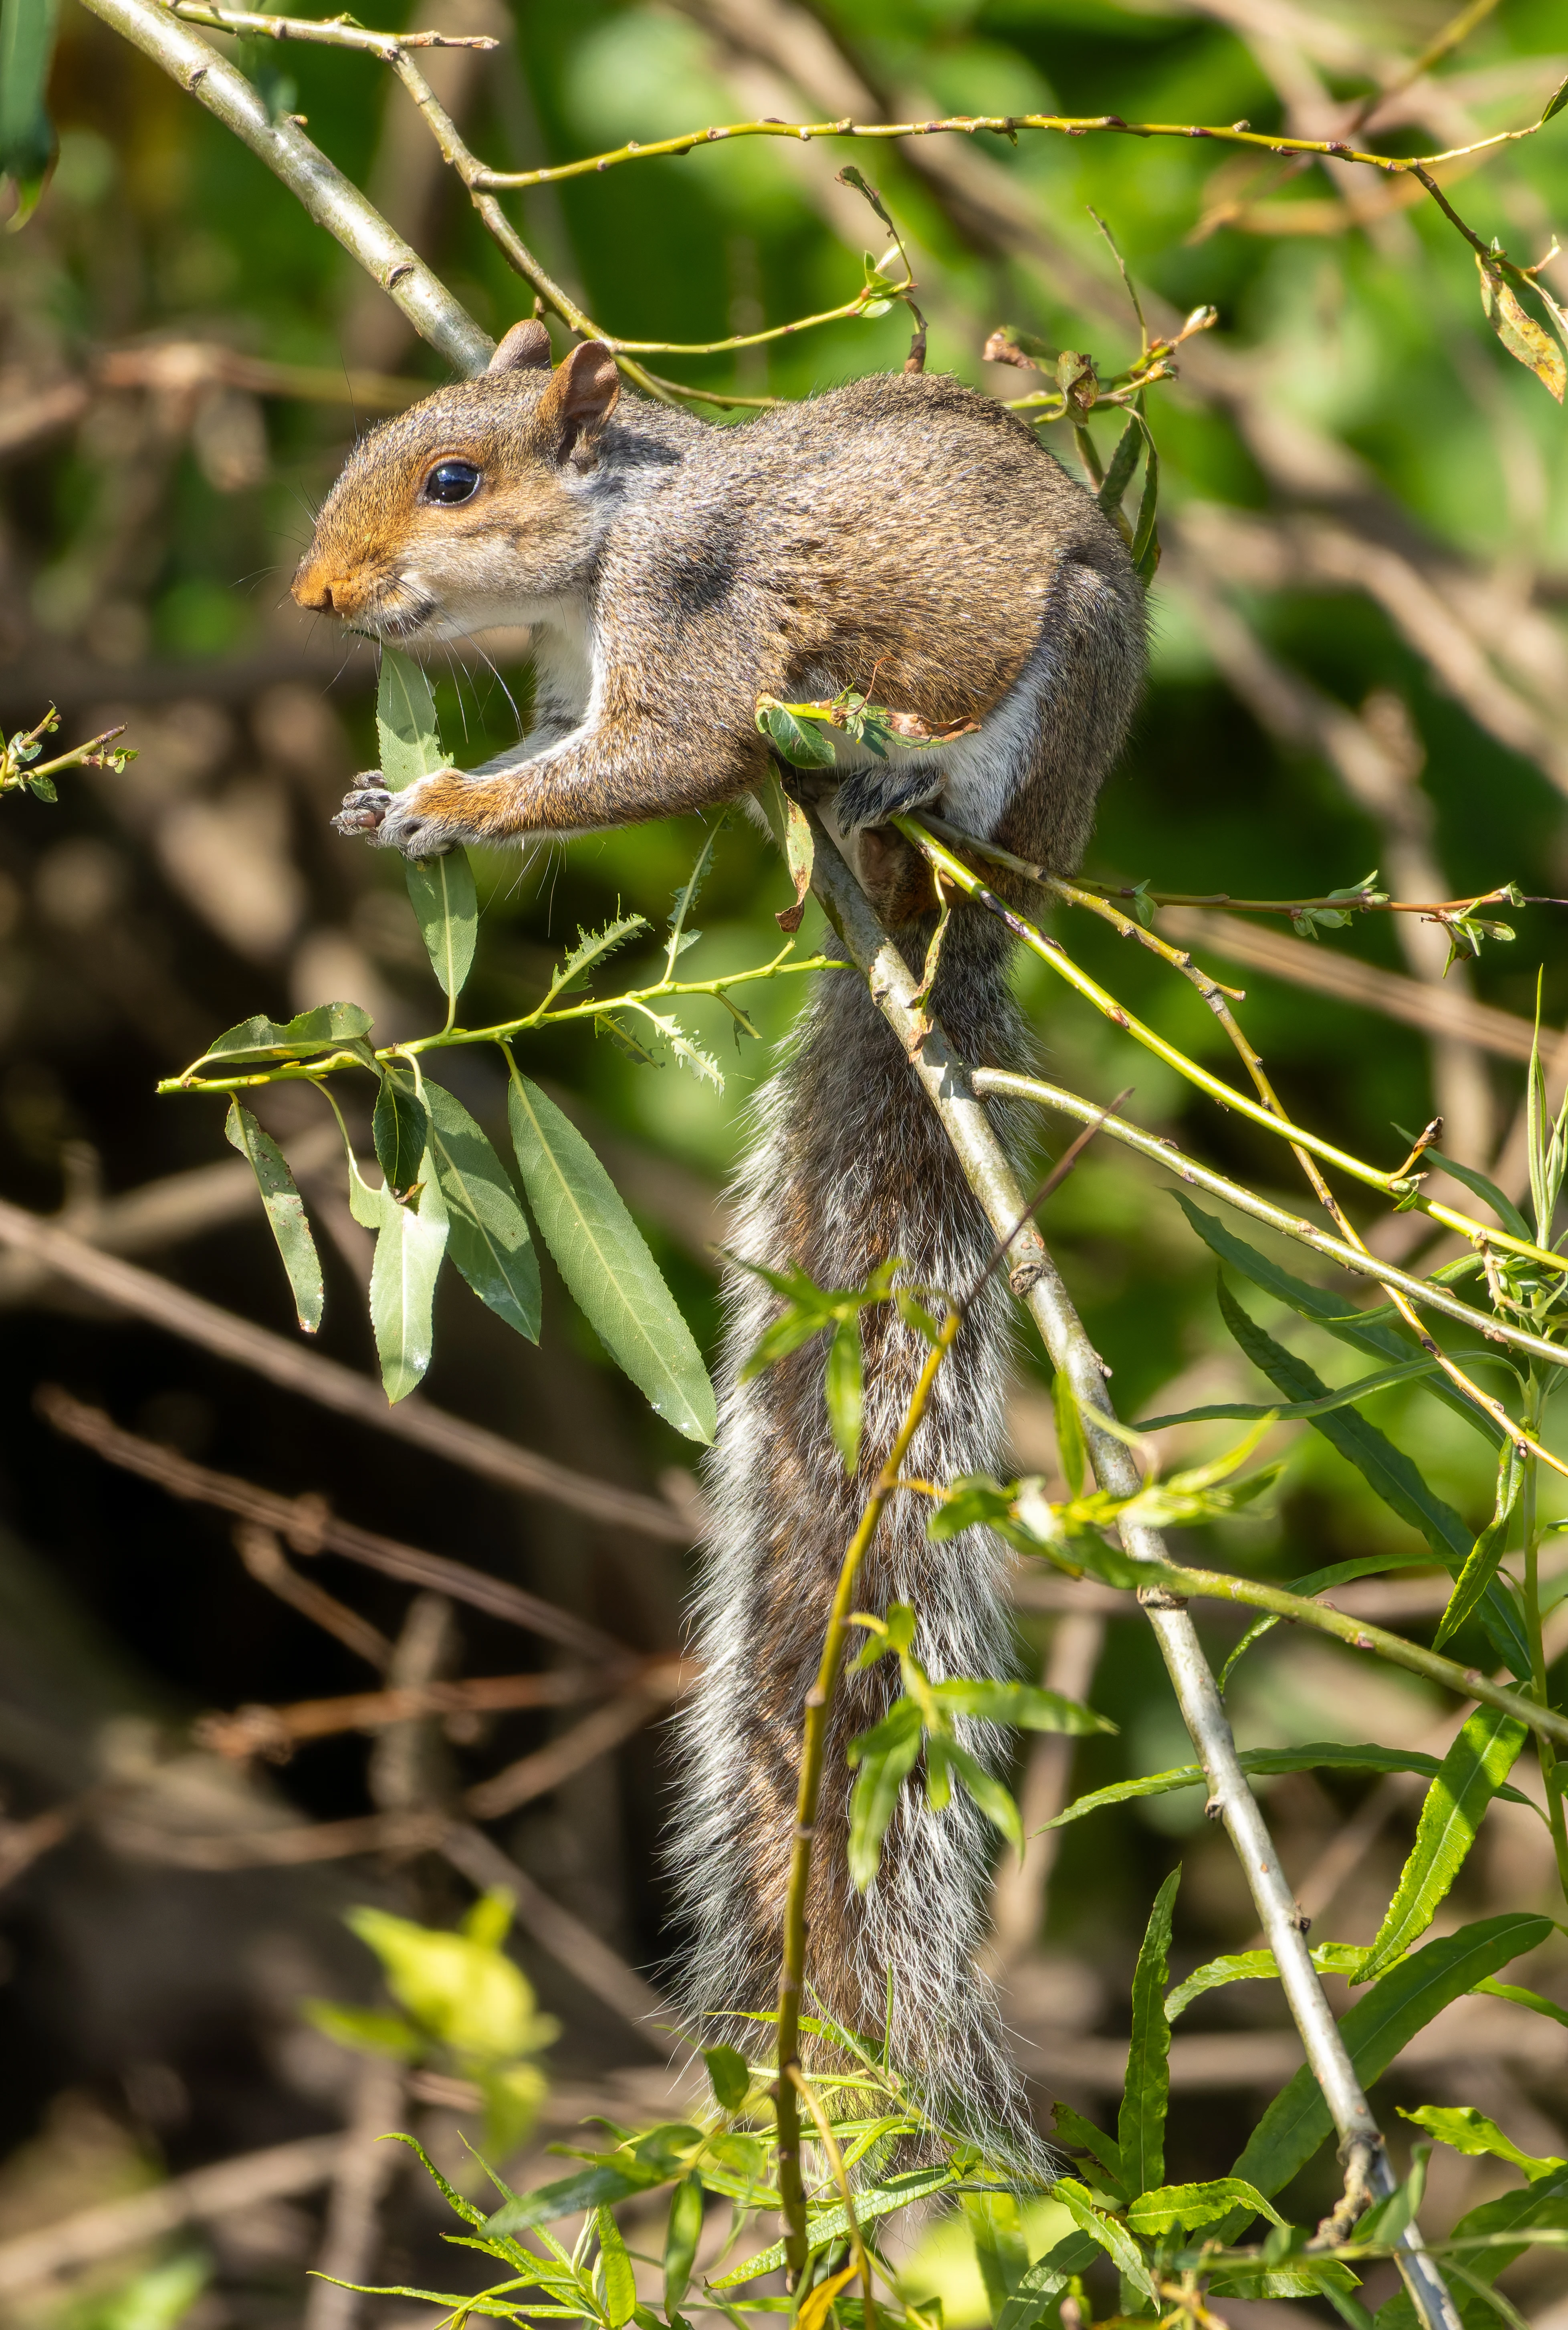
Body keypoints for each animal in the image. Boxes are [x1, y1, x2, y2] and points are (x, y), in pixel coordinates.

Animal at [293, 318, 1145, 2138]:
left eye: (454, 478)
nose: (318, 593)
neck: (603, 542)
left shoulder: (688, 631)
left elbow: (659, 761)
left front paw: (454, 807)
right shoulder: (565, 675)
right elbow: (560, 754)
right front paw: (405, 796)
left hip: (1050, 704)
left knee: (959, 811)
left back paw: (887, 775)